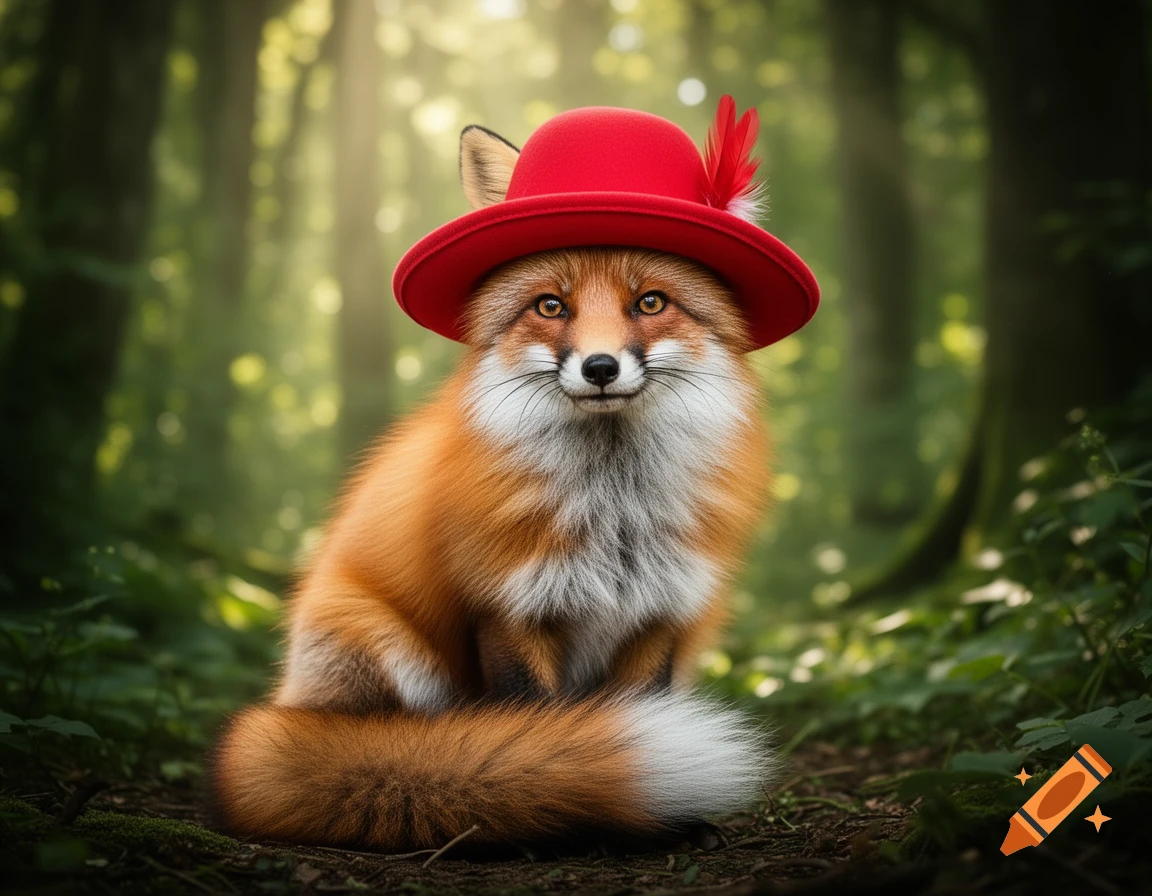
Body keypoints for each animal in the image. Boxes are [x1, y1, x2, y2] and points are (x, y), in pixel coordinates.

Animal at [209, 120, 778, 852]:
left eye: (650, 302)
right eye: (550, 306)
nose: (600, 367)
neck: (614, 512)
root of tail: (289, 702)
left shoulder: (661, 613)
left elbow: (635, 703)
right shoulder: (507, 608)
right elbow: (535, 727)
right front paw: (548, 802)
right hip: (383, 646)